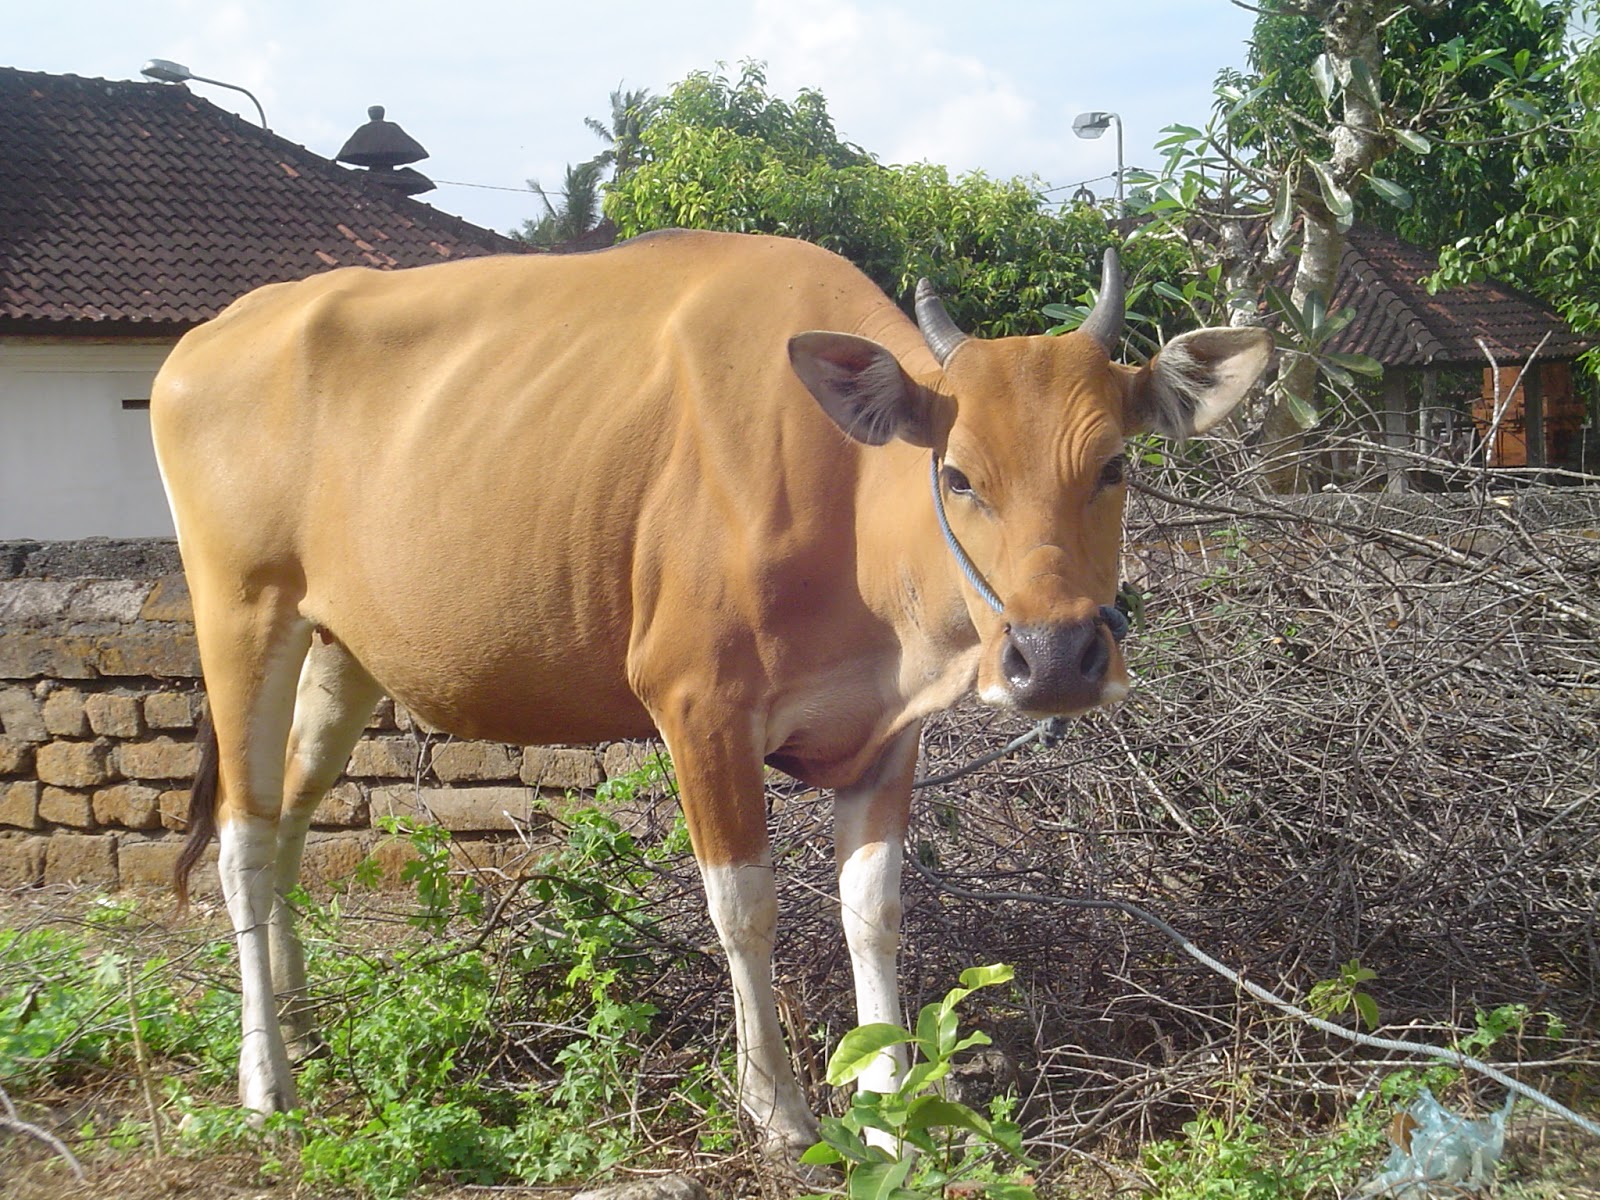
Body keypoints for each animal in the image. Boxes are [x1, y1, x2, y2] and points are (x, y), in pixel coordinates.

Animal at [152, 230, 1273, 1158]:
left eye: (1114, 464)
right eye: (957, 475)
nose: (1054, 656)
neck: (842, 505)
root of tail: (211, 336)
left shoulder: (887, 732)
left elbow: (873, 910)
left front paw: (889, 1105)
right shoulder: (697, 707)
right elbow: (744, 909)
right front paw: (774, 1104)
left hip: (344, 649)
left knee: (287, 823)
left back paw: (301, 1022)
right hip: (242, 614)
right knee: (242, 843)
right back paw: (266, 1078)